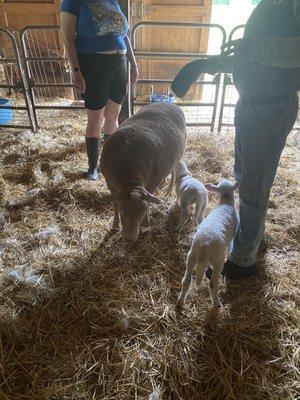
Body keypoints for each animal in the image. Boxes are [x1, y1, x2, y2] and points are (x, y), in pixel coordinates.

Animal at [176, 180, 239, 308]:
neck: (226, 202)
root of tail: (206, 243)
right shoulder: (232, 237)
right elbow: (230, 247)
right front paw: (230, 255)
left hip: (192, 255)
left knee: (186, 281)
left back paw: (180, 301)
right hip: (218, 261)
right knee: (213, 283)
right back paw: (217, 303)